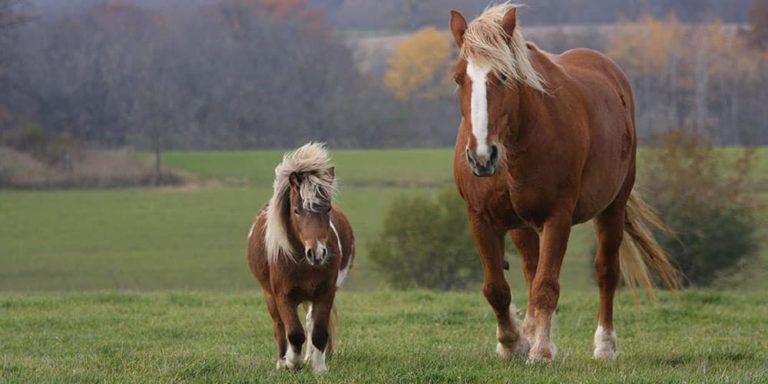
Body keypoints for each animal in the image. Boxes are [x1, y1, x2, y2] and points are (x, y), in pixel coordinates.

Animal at [246, 142, 354, 374]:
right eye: (296, 211)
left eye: (328, 208)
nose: (317, 252)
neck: (302, 263)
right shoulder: (283, 296)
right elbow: (294, 333)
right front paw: (290, 362)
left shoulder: (325, 293)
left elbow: (319, 332)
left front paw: (319, 368)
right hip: (270, 296)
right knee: (279, 325)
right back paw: (282, 360)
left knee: (310, 323)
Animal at [448, 3, 680, 364]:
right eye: (460, 78)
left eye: (503, 76)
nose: (481, 156)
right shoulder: (481, 218)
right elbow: (497, 288)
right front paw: (513, 342)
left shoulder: (557, 217)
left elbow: (547, 286)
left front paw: (541, 351)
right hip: (521, 225)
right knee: (530, 269)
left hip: (612, 209)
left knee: (605, 271)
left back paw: (604, 345)